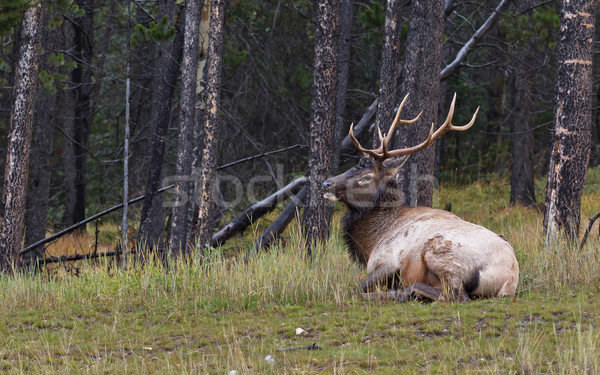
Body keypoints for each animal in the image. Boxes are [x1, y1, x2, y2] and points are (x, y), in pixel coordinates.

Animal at [326, 94, 516, 302]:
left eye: (366, 177)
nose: (326, 183)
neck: (371, 241)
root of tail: (510, 277)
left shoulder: (388, 261)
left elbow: (354, 290)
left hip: (439, 253)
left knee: (455, 295)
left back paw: (401, 292)